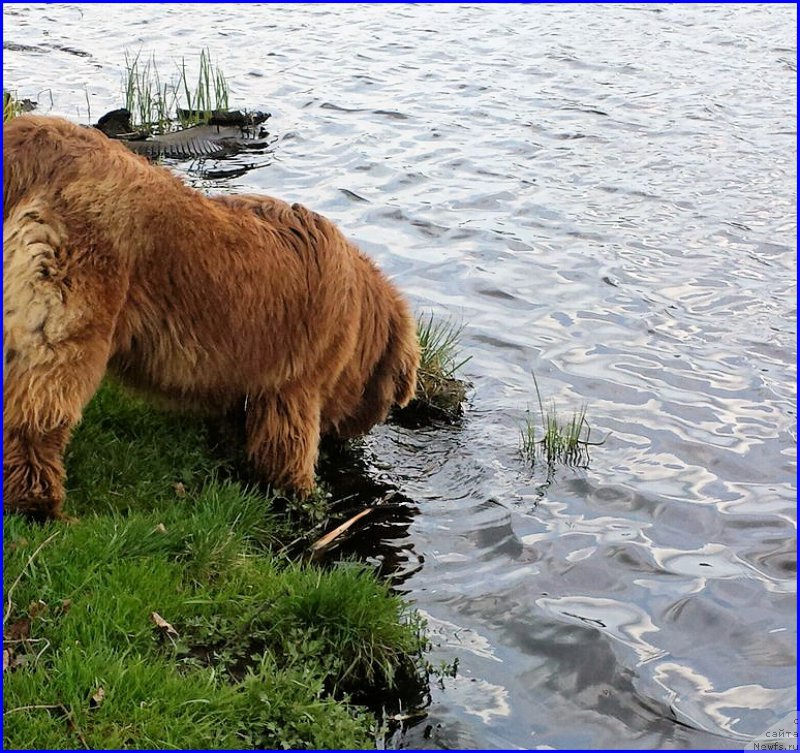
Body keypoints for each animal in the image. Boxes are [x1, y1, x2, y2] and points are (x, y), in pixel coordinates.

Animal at [4, 114, 418, 520]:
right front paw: (306, 497)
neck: (359, 314)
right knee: (35, 414)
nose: (347, 446)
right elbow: (290, 449)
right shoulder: (295, 386)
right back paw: (39, 502)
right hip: (68, 323)